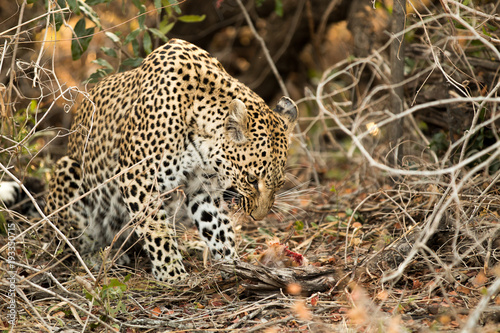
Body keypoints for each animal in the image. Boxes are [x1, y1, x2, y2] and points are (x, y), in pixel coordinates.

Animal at [44, 39, 296, 282]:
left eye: (279, 184)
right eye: (252, 180)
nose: (258, 217)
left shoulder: (201, 187)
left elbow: (218, 226)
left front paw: (233, 263)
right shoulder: (138, 177)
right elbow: (157, 230)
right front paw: (172, 275)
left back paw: (192, 247)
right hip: (69, 172)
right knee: (70, 244)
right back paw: (98, 257)